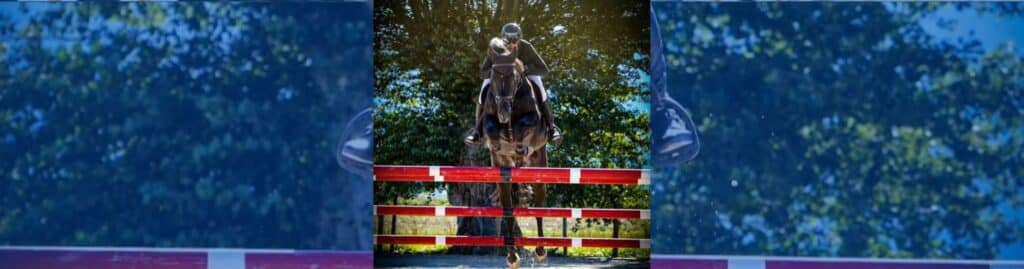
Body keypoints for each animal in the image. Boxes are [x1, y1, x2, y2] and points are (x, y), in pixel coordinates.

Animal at [481, 37, 552, 267]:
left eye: (513, 77)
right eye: (494, 76)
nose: (504, 113)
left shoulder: (533, 120)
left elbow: (524, 123)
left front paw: (519, 144)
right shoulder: (489, 118)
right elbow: (491, 127)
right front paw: (498, 141)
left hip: (540, 165)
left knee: (539, 206)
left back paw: (540, 251)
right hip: (503, 176)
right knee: (508, 210)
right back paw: (512, 256)